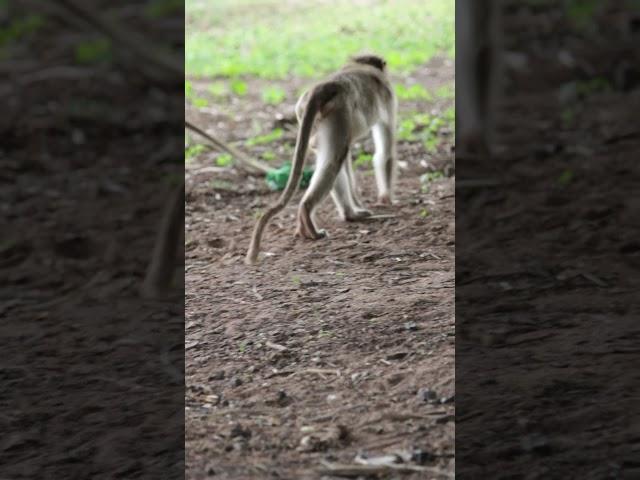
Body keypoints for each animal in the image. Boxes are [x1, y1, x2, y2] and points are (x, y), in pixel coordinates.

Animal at [245, 56, 396, 266]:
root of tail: (323, 87)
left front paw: (361, 203)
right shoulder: (388, 97)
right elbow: (384, 152)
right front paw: (386, 198)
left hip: (308, 115)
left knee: (334, 158)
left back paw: (349, 214)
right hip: (339, 115)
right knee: (334, 161)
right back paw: (308, 213)